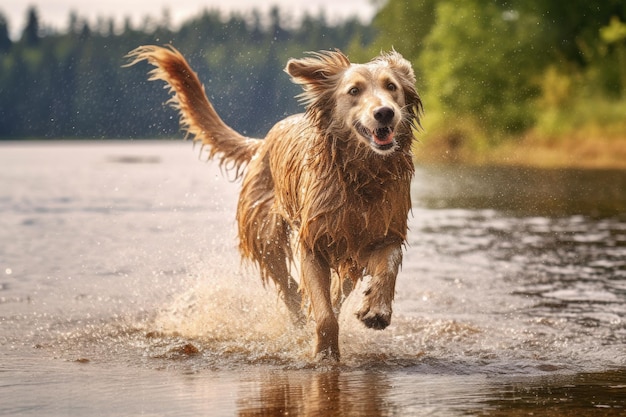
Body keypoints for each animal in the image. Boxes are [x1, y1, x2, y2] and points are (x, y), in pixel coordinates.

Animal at [125, 44, 422, 358]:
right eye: (354, 90)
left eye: (392, 87)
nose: (385, 113)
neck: (361, 175)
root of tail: (263, 141)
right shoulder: (313, 244)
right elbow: (324, 315)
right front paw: (324, 354)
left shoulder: (383, 231)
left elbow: (388, 266)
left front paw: (376, 309)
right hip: (264, 233)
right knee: (289, 288)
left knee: (335, 290)